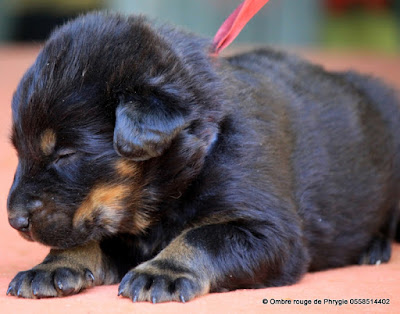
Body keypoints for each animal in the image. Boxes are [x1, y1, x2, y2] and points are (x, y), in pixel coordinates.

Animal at [6, 11, 400, 302]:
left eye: (65, 154)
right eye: (20, 150)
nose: (14, 221)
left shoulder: (272, 232)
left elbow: (203, 237)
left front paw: (162, 271)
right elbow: (91, 236)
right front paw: (53, 265)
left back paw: (374, 248)